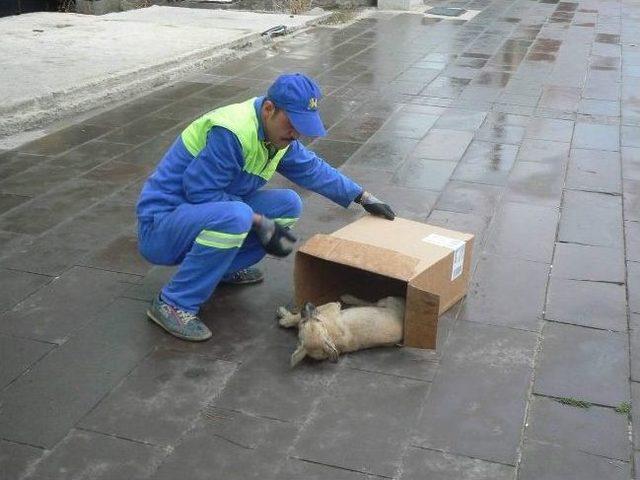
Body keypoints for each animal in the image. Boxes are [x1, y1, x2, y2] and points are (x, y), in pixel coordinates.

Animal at [276, 292, 404, 368]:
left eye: (317, 320)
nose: (308, 303)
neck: (330, 335)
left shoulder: (331, 305)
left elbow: (298, 317)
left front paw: (285, 317)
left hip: (386, 300)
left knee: (372, 302)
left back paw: (349, 298)